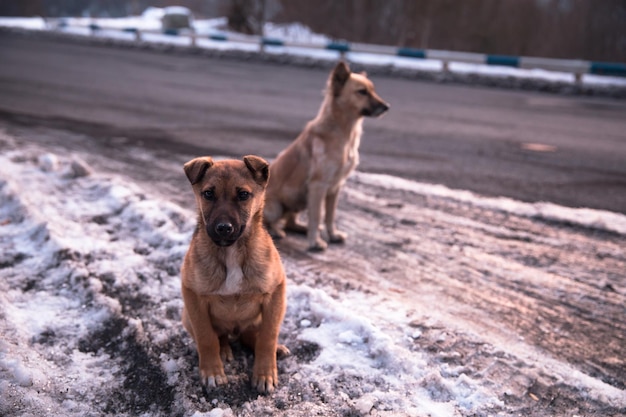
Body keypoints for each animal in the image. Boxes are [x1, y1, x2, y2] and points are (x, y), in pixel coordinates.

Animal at [180, 154, 288, 392]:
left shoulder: (276, 291)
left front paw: (264, 374)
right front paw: (212, 372)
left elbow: (267, 337)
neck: (231, 252)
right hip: (187, 316)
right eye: (208, 194)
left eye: (243, 195)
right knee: (220, 335)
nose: (223, 228)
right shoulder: (192, 295)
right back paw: (224, 349)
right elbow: (206, 337)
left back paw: (276, 348)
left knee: (252, 335)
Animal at [260, 61, 388, 250]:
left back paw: (300, 228)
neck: (344, 133)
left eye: (372, 90)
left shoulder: (335, 186)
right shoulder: (318, 186)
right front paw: (315, 242)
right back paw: (276, 231)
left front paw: (332, 235)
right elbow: (317, 215)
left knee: (290, 222)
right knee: (267, 223)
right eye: (362, 91)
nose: (387, 107)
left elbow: (330, 215)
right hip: (276, 207)